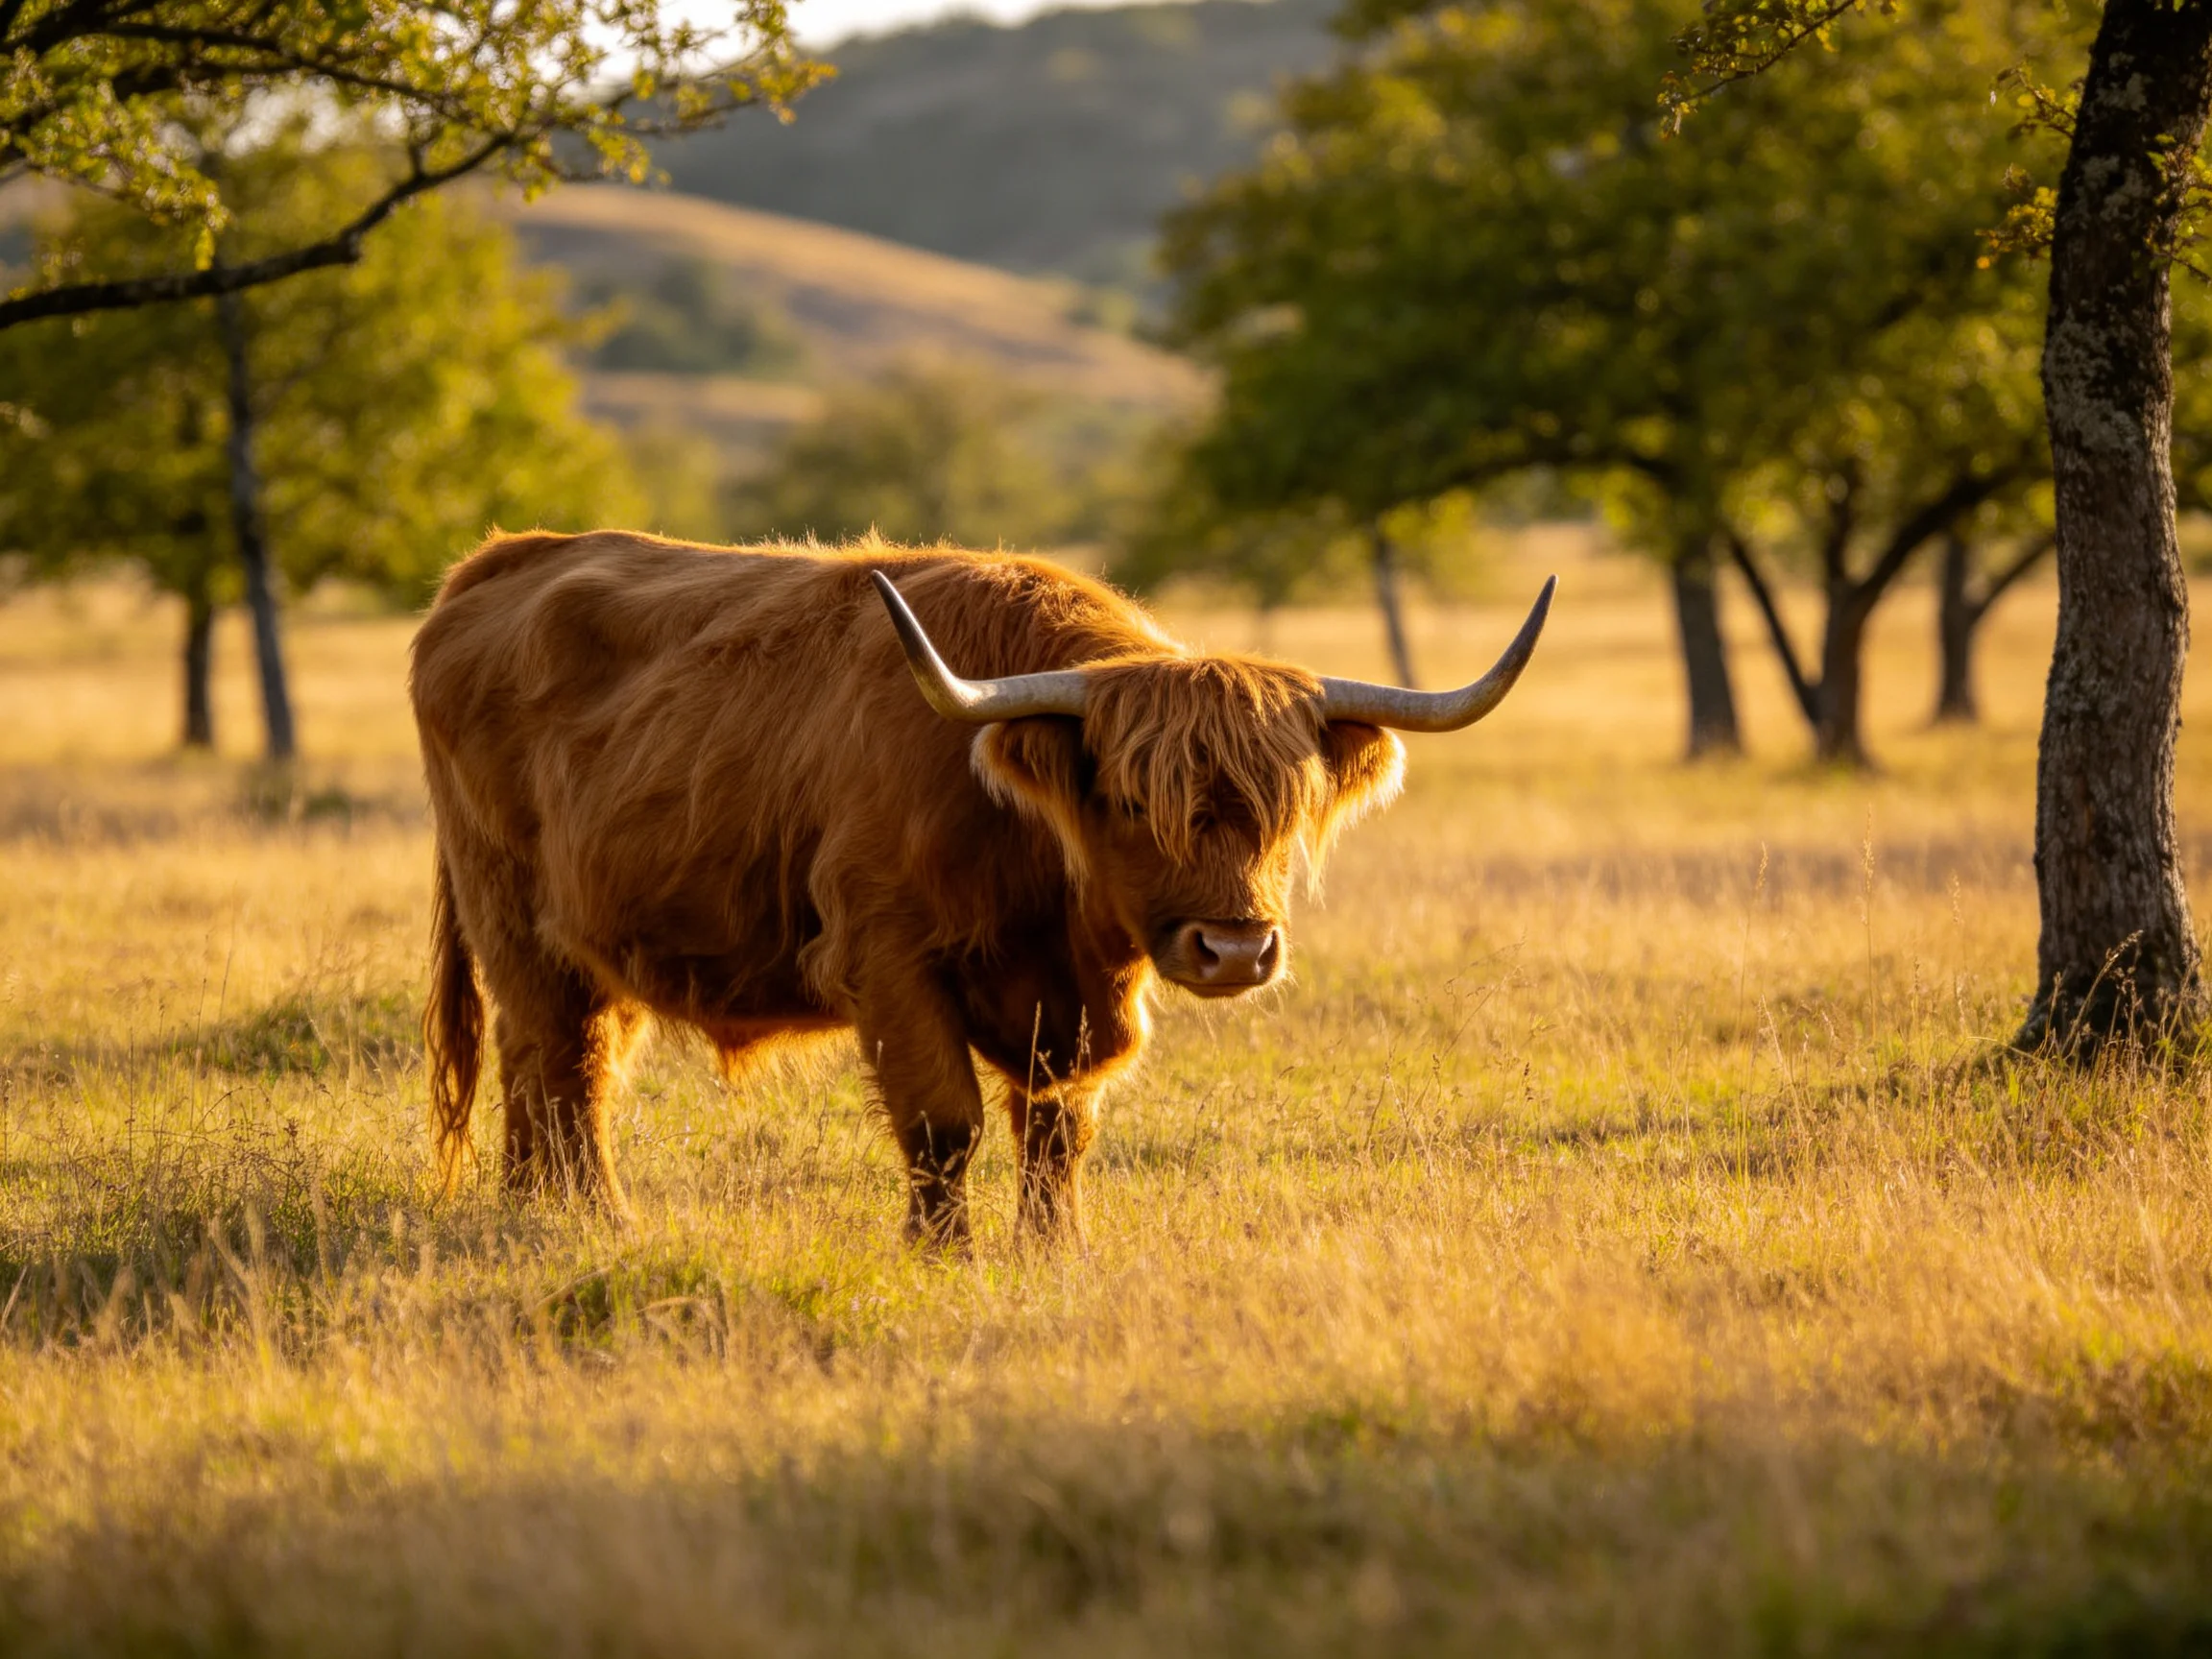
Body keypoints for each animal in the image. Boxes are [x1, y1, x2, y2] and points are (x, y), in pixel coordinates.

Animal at [411, 531, 1553, 1243]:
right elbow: (942, 1124)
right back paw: (591, 1220)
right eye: (1129, 800)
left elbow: (1057, 1132)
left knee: (561, 1065)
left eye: (1287, 805)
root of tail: (504, 559)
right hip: (514, 923)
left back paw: (537, 1213)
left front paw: (1055, 1252)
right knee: (560, 1066)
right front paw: (942, 1257)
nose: (1235, 949)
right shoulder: (886, 956)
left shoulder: (1072, 1004)